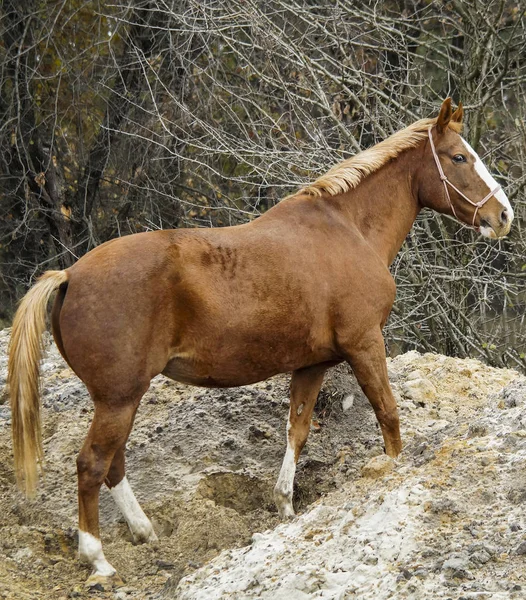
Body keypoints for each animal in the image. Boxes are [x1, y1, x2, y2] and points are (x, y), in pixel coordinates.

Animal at [8, 97, 512, 584]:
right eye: (459, 157)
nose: (503, 215)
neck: (348, 229)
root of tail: (70, 275)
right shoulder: (365, 344)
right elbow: (388, 415)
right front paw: (392, 469)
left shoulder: (312, 364)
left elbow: (297, 430)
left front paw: (284, 503)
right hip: (119, 399)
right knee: (92, 465)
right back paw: (98, 560)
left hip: (120, 399)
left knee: (112, 464)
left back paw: (144, 531)